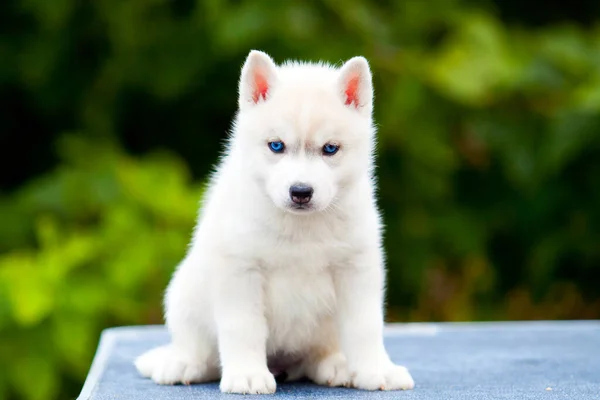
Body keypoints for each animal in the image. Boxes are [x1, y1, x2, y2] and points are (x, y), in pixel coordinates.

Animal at [135, 49, 414, 394]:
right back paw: (182, 364)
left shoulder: (356, 269)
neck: (300, 228)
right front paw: (247, 374)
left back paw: (336, 365)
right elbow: (243, 327)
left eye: (330, 149)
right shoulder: (240, 270)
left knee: (318, 353)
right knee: (198, 348)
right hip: (184, 292)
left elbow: (365, 326)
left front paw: (377, 370)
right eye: (276, 145)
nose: (301, 192)